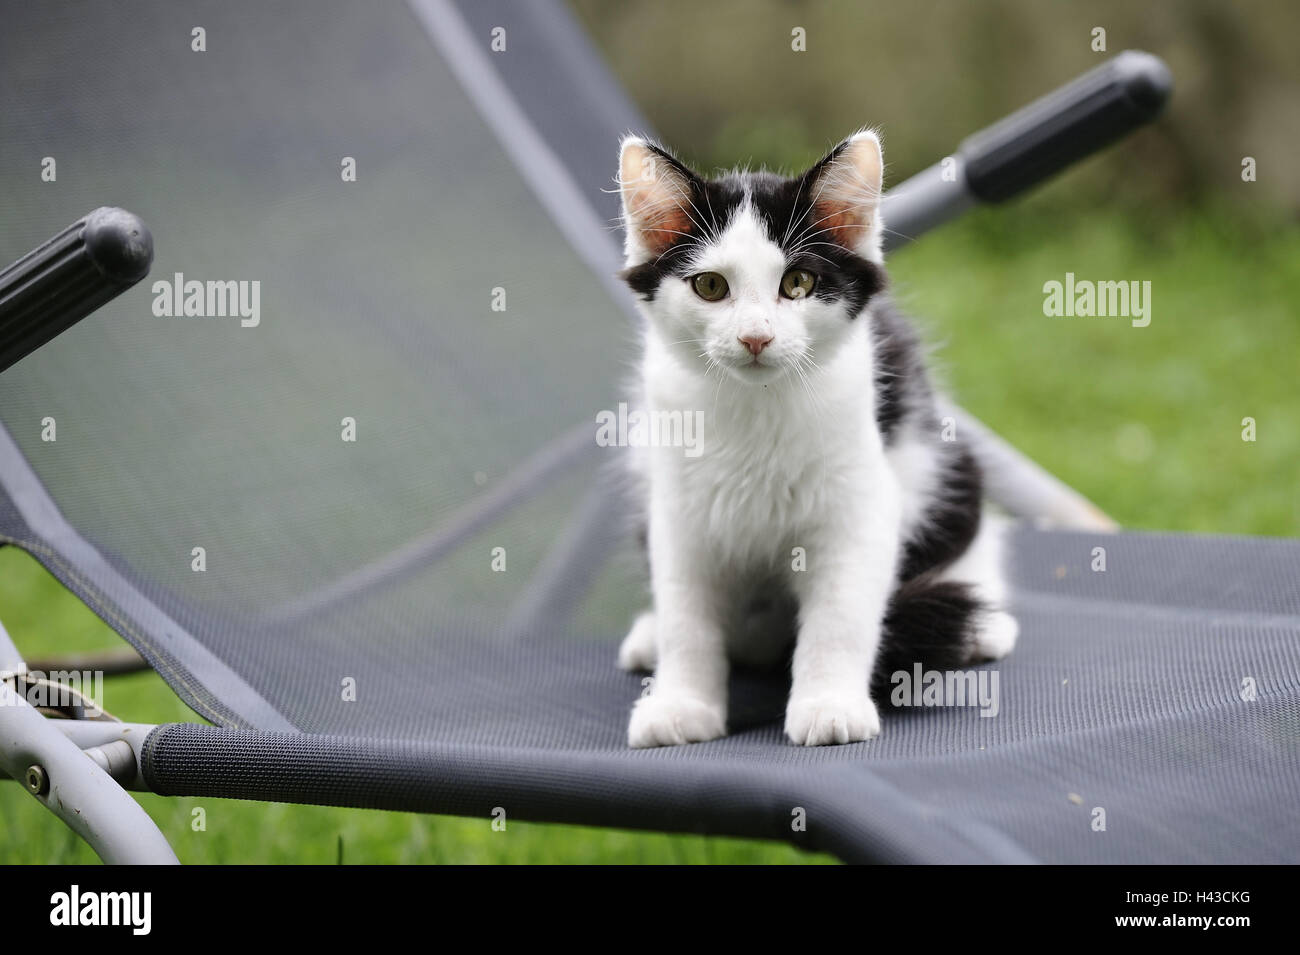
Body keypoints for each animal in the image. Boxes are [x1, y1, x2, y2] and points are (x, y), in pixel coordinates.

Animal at [613, 132, 1019, 748]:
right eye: (710, 286)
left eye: (797, 283)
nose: (755, 337)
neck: (758, 407)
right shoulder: (679, 506)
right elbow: (688, 614)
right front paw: (681, 704)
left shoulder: (862, 503)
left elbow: (840, 615)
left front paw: (829, 706)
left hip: (941, 463)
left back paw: (985, 625)